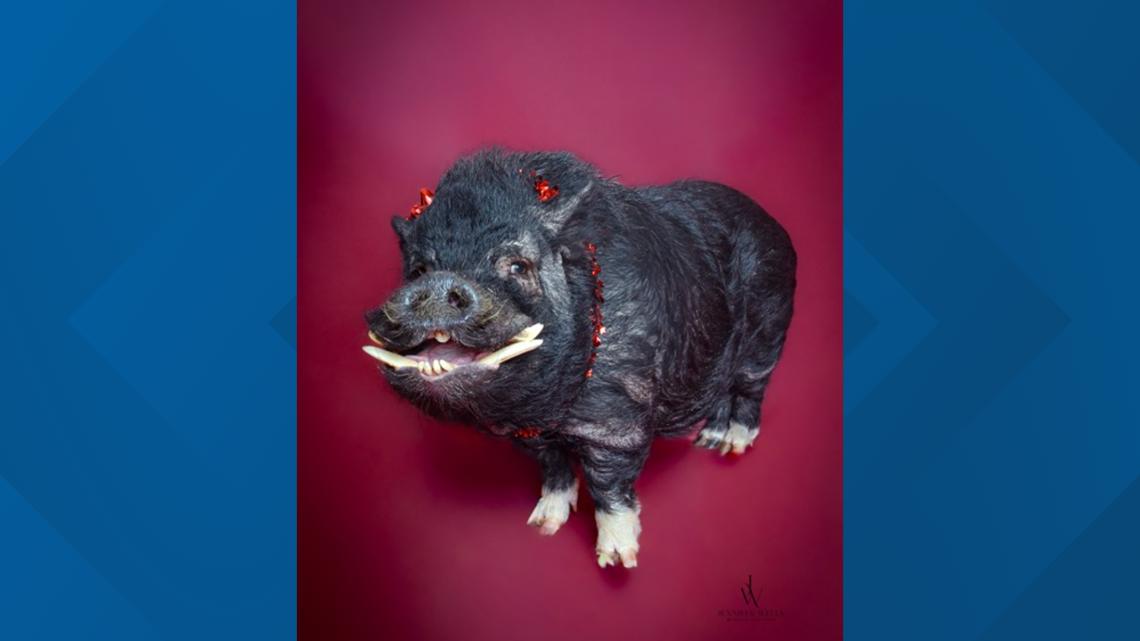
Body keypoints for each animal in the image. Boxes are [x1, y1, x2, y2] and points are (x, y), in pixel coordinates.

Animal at [364, 149, 796, 568]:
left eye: (518, 265)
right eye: (419, 269)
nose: (439, 283)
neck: (543, 409)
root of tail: (772, 221)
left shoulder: (618, 421)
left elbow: (608, 483)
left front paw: (616, 560)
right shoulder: (530, 434)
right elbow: (552, 465)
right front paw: (542, 525)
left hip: (768, 327)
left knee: (751, 388)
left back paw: (729, 444)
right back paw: (707, 441)